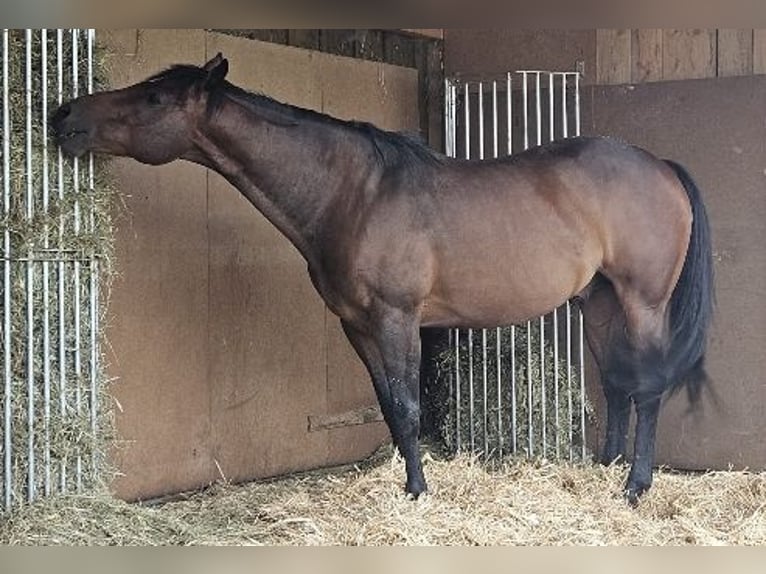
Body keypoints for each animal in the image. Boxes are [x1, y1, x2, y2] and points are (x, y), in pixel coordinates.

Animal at [51, 53, 714, 504]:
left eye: (155, 99)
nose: (63, 114)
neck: (354, 194)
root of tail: (660, 166)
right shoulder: (357, 326)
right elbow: (389, 408)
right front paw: (406, 480)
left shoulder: (398, 319)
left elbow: (407, 403)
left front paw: (418, 492)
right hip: (596, 301)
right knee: (618, 385)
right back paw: (602, 472)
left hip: (642, 302)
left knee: (648, 387)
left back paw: (635, 487)